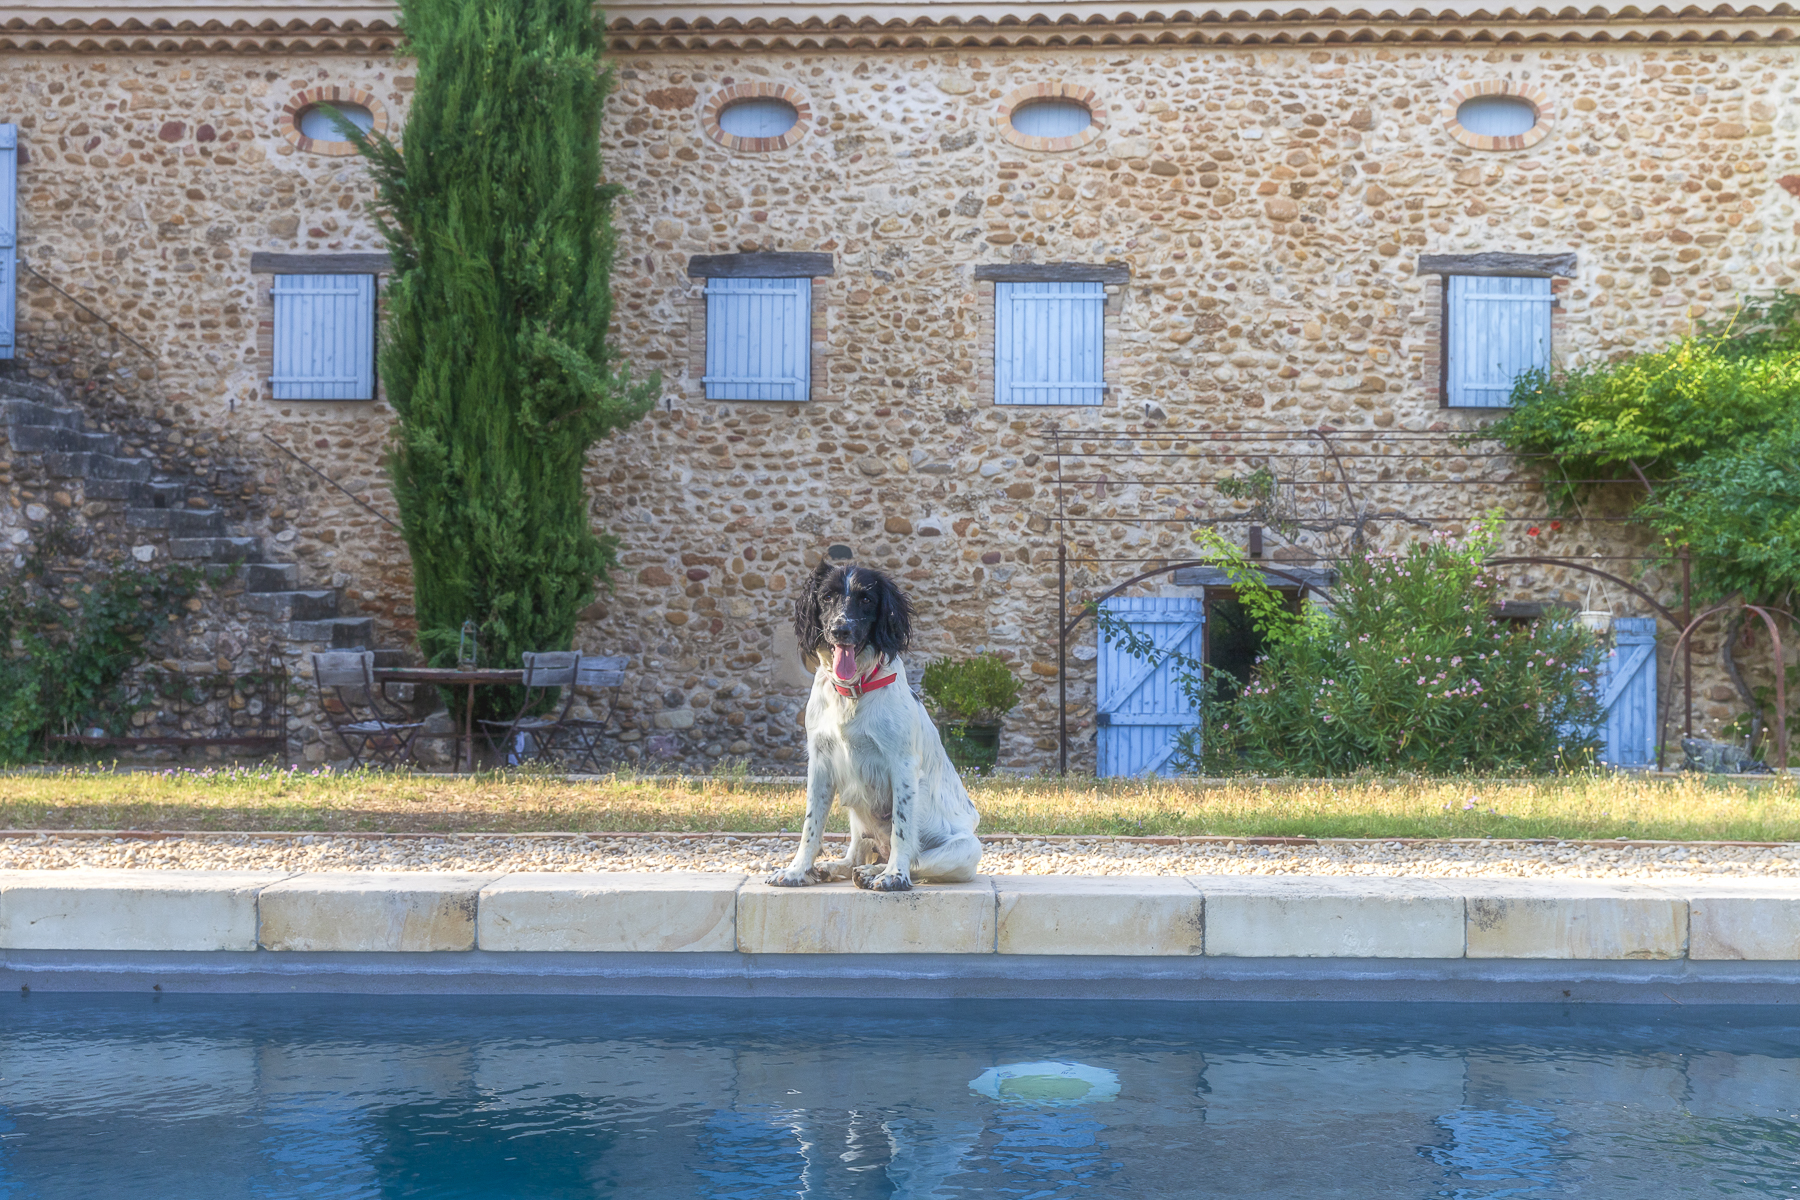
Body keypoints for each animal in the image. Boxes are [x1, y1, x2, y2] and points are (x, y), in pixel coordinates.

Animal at [763, 564, 979, 892]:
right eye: (827, 597)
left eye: (866, 599)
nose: (841, 630)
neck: (853, 691)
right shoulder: (820, 761)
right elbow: (811, 825)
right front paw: (797, 871)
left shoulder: (902, 764)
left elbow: (902, 830)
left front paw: (894, 876)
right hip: (857, 814)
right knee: (857, 853)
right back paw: (833, 867)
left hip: (967, 848)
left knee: (917, 859)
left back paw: (874, 872)